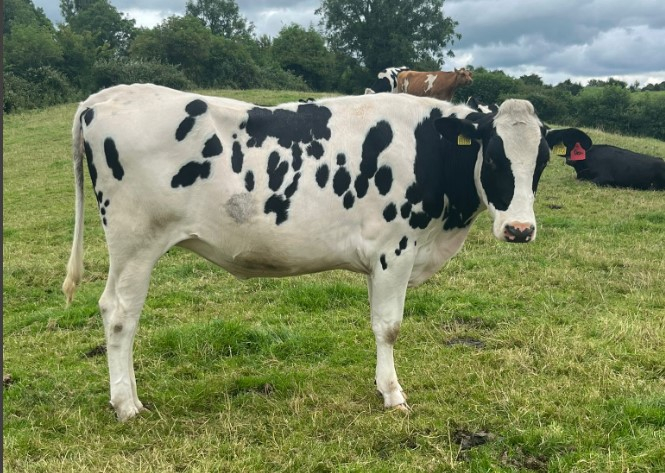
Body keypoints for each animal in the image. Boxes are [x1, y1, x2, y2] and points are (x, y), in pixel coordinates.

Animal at [62, 83, 588, 418]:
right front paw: (393, 395)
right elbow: (389, 327)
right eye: (495, 157)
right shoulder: (394, 250)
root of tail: (102, 97)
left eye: (541, 161)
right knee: (119, 314)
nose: (519, 229)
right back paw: (127, 405)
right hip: (135, 241)